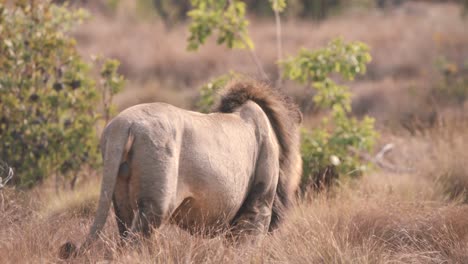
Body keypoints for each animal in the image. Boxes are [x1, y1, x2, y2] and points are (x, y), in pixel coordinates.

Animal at [58, 80, 302, 258]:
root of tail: (123, 125)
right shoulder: (258, 207)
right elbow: (245, 247)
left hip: (121, 200)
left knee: (126, 237)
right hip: (157, 202)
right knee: (136, 241)